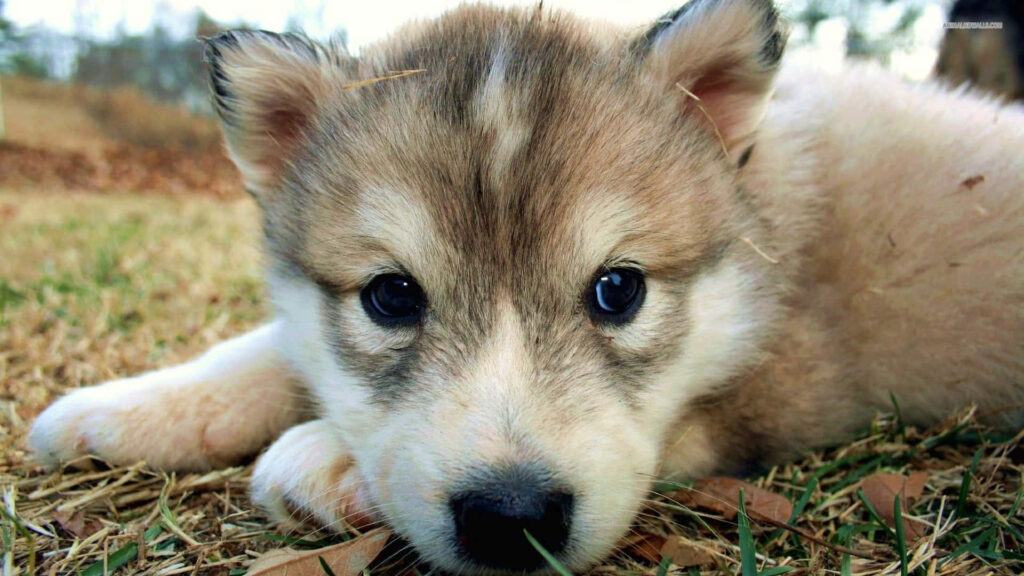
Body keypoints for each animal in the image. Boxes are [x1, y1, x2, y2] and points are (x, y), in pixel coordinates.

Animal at [27, 0, 1024, 572]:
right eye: (391, 297)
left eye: (618, 290)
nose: (511, 516)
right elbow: (274, 343)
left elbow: (687, 423)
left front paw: (333, 457)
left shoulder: (798, 377)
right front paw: (130, 406)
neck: (763, 203)